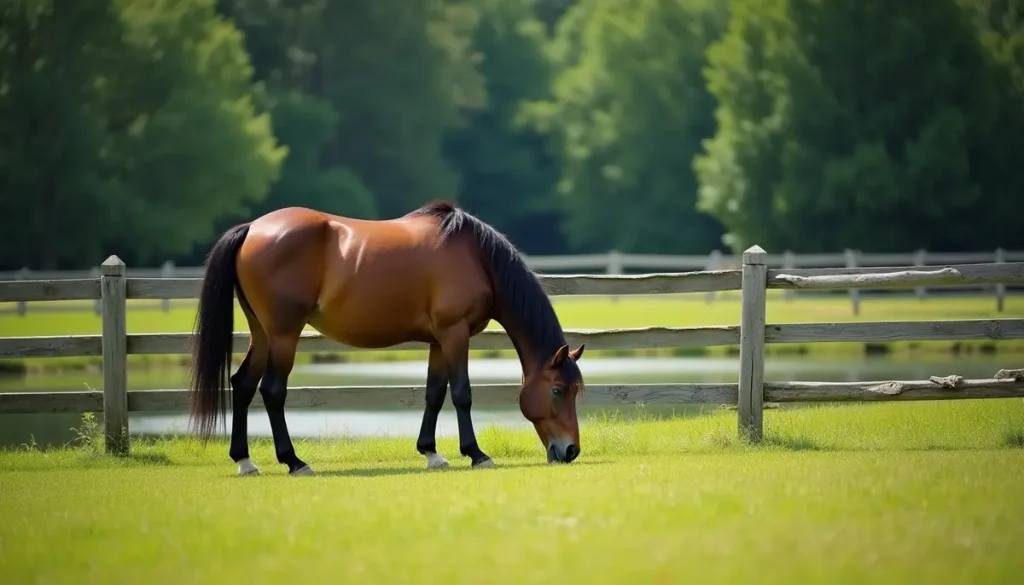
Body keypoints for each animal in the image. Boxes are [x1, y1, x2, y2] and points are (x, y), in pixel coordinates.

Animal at [186, 201, 586, 476]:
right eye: (557, 390)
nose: (570, 451)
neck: (477, 258)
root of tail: (252, 228)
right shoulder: (455, 333)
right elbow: (461, 394)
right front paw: (476, 454)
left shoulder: (439, 341)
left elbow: (434, 394)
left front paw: (431, 453)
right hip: (284, 335)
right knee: (272, 390)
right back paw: (294, 461)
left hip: (263, 333)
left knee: (242, 384)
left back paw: (245, 461)